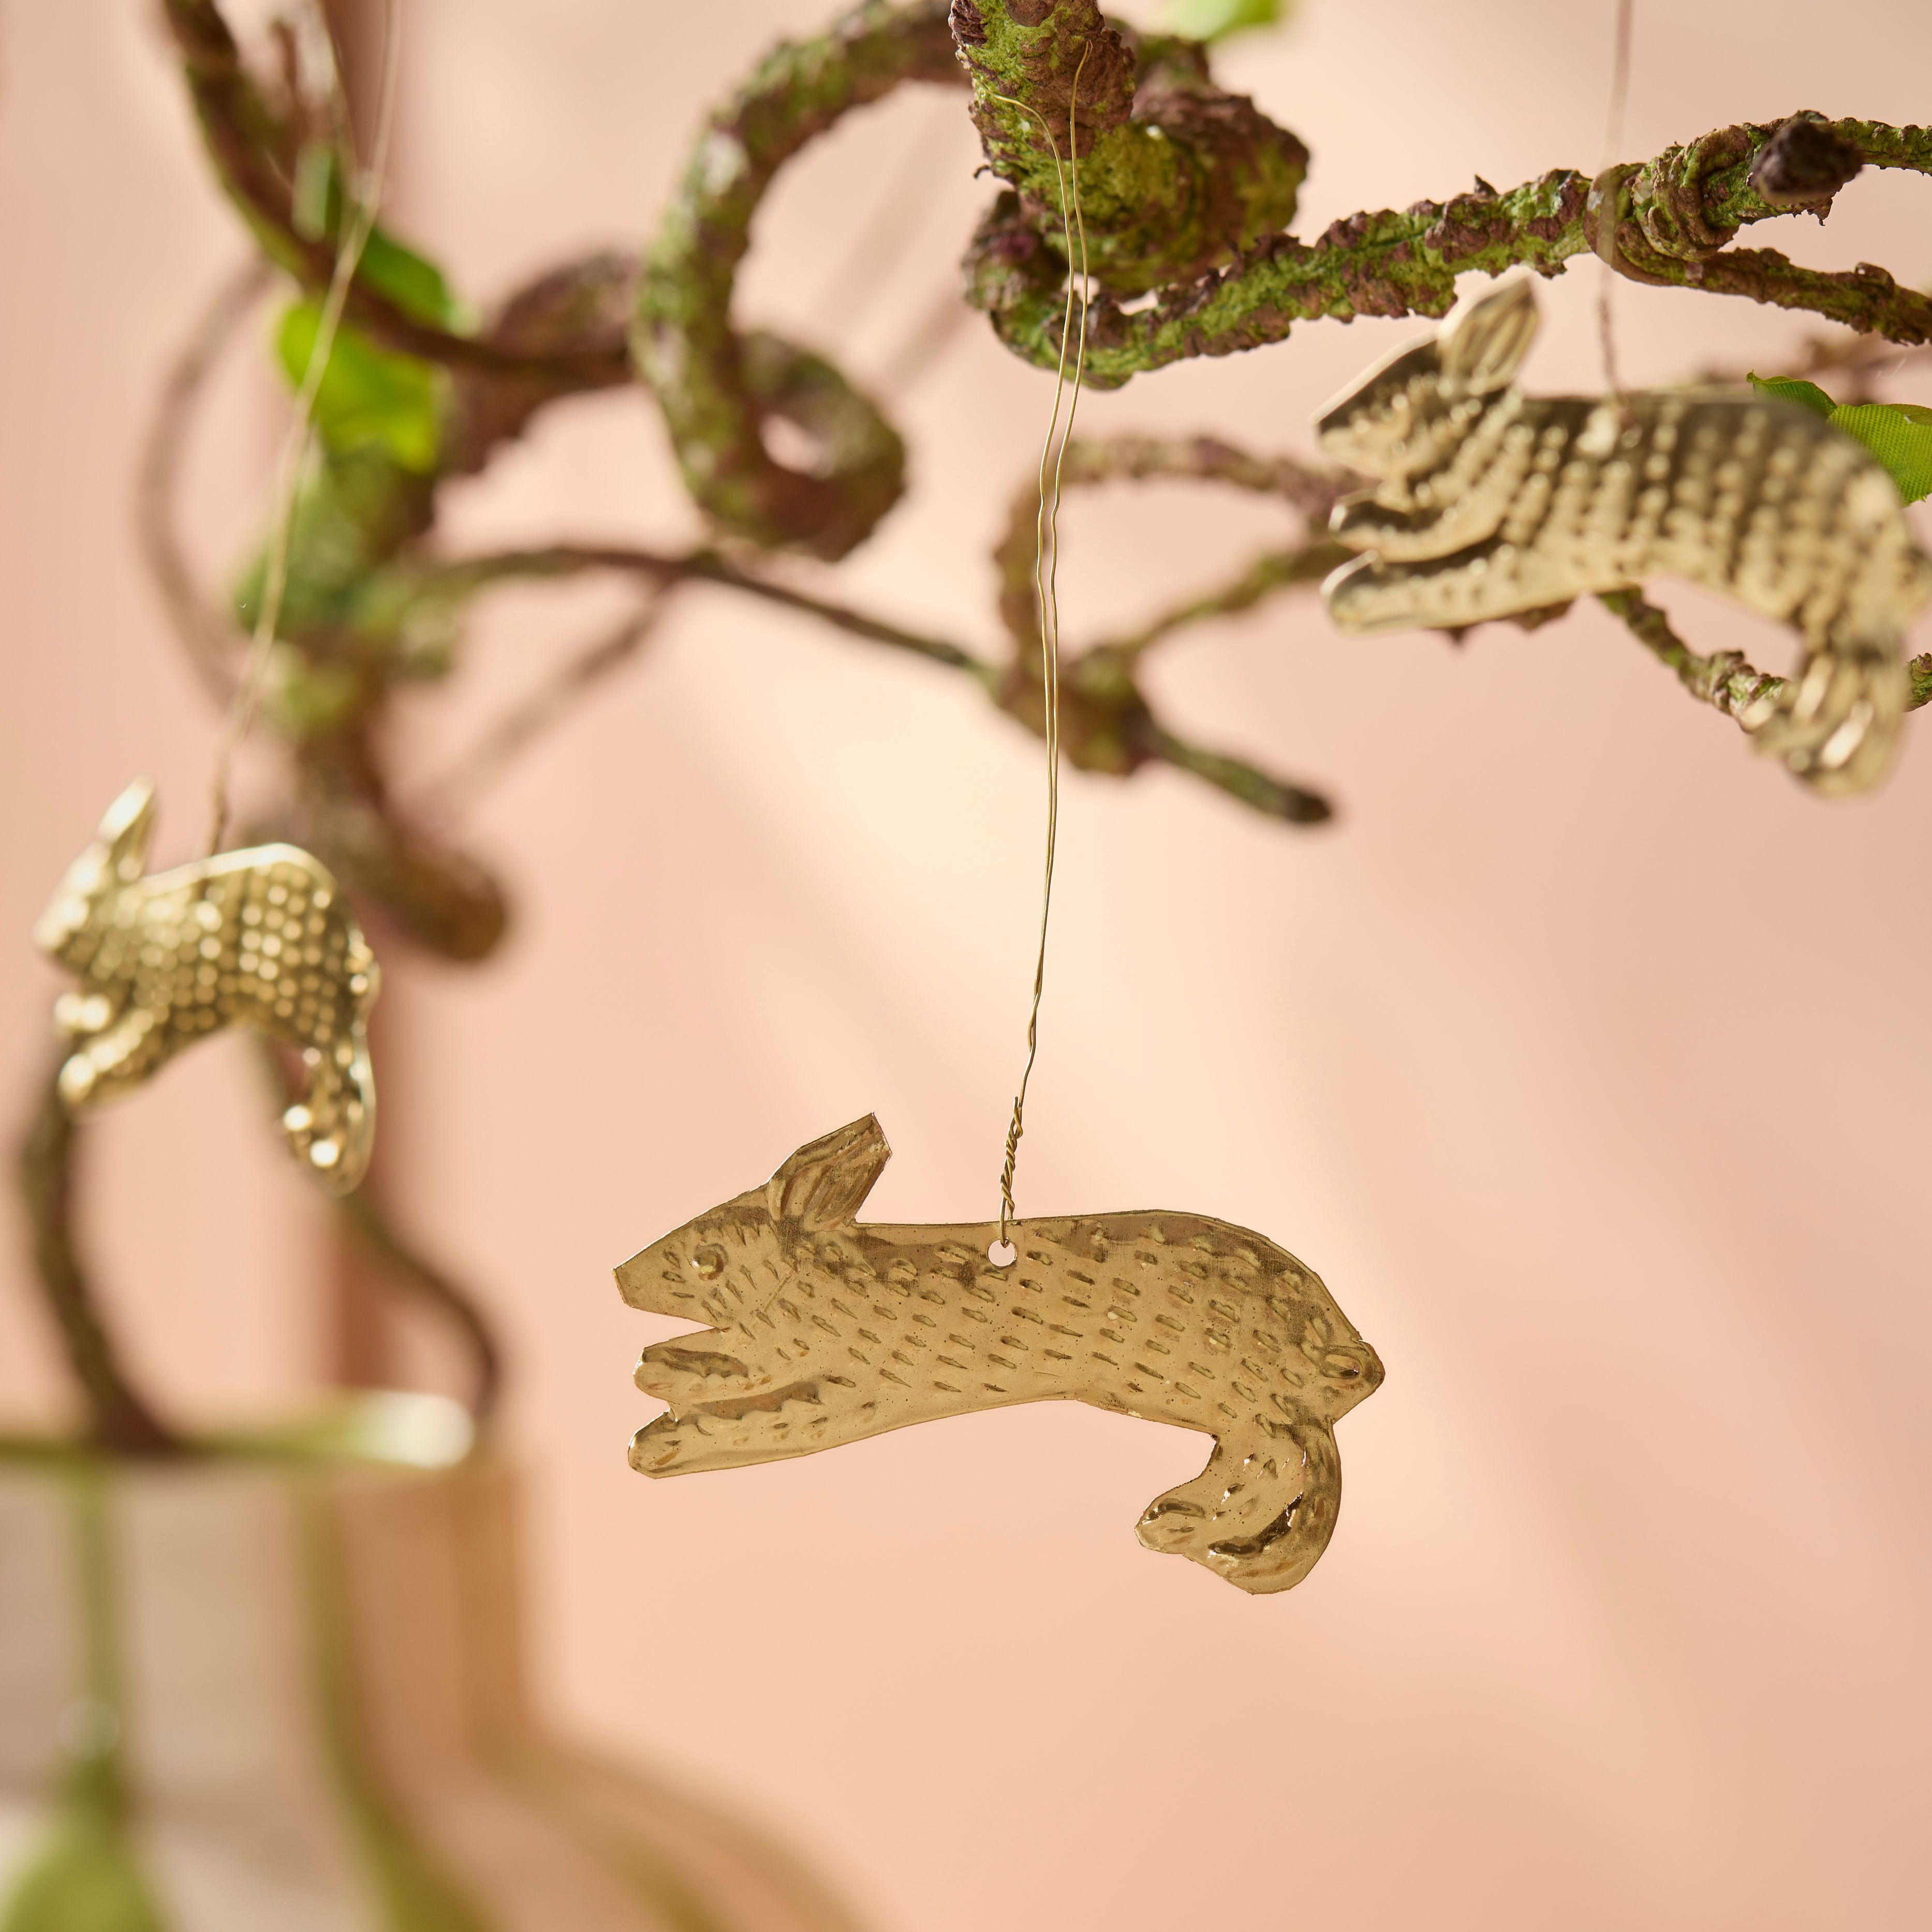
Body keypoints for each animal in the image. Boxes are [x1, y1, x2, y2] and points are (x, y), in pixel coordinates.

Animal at [34, 779, 379, 1193]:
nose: (44, 937)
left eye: (81, 901)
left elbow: (127, 1050)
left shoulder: (165, 1010)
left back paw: (323, 1143)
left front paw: (84, 1077)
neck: (133, 924)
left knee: (343, 1071)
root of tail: (351, 950)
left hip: (302, 1010)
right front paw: (77, 1017)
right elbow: (100, 1008)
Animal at [617, 1115, 1383, 1595]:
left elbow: (763, 1414)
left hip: (1230, 1392)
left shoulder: (863, 1383)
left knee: (1280, 1466)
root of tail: (1350, 1360)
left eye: (706, 1259)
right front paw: (663, 1371)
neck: (823, 1284)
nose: (619, 1276)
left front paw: (657, 1423)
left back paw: (1176, 1523)